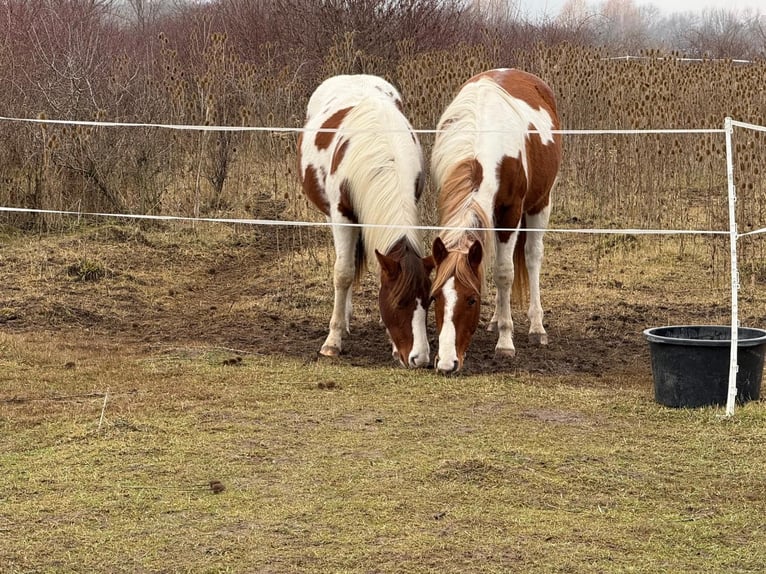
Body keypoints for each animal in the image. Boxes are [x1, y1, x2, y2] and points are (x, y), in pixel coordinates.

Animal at [298, 74, 434, 367]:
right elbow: (344, 273)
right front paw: (332, 342)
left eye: (428, 301)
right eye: (399, 301)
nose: (419, 358)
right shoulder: (342, 216)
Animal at [429, 68, 562, 374]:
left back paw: (536, 327)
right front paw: (499, 323)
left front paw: (505, 343)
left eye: (471, 299)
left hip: (540, 204)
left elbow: (504, 272)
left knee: (532, 256)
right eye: (435, 297)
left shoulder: (510, 213)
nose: (446, 362)